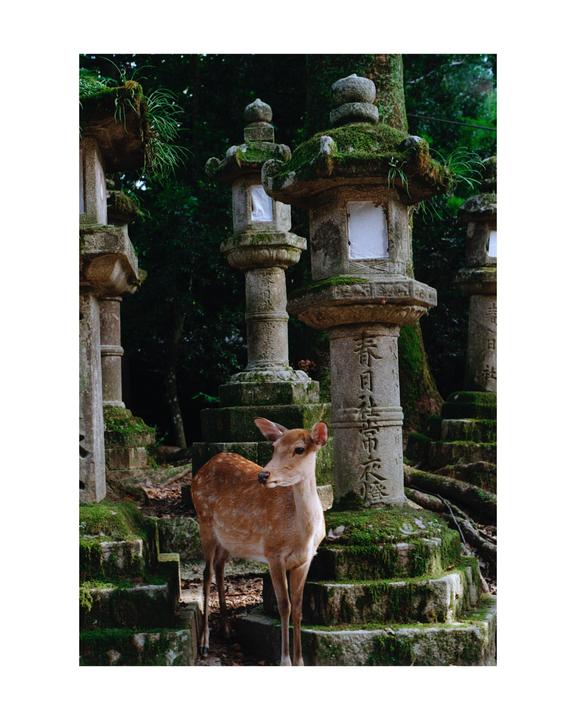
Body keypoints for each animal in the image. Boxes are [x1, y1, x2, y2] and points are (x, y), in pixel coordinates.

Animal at [191, 417, 328, 666]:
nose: (264, 475)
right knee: (206, 573)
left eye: (299, 449)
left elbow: (298, 608)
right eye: (274, 447)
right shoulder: (273, 553)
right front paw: (285, 661)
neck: (301, 535)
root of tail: (203, 467)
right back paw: (205, 643)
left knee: (219, 568)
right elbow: (284, 606)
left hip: (228, 539)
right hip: (203, 521)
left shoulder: (305, 560)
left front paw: (300, 661)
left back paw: (227, 629)